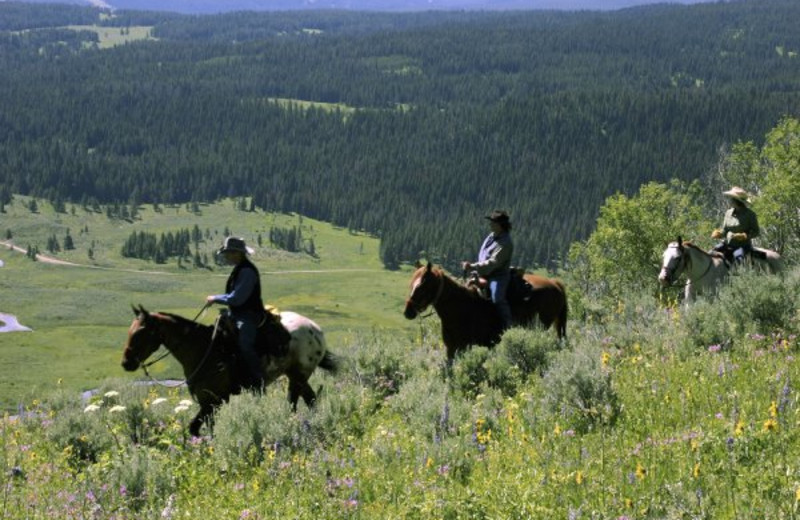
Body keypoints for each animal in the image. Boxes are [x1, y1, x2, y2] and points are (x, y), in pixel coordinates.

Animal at [121, 304, 338, 434]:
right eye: (130, 330)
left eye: (141, 333)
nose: (126, 363)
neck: (202, 348)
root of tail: (316, 329)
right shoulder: (207, 401)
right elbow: (201, 429)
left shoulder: (214, 400)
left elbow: (195, 427)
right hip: (297, 376)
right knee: (309, 399)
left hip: (298, 376)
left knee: (295, 402)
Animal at [404, 264, 564, 362]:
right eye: (411, 284)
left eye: (421, 287)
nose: (408, 312)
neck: (460, 307)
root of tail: (554, 283)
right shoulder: (452, 348)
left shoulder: (468, 346)